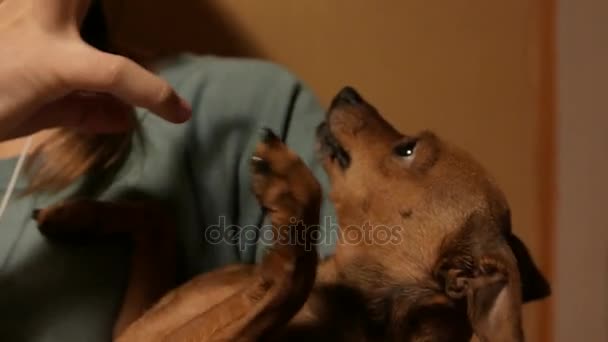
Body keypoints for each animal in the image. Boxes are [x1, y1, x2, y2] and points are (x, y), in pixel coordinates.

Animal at [36, 87, 552, 340]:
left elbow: (290, 276)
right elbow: (157, 215)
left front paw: (292, 189)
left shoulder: (148, 340)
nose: (349, 91)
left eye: (407, 149)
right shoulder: (133, 328)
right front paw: (76, 213)